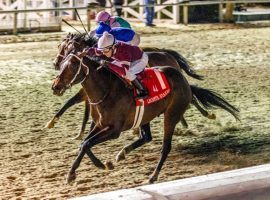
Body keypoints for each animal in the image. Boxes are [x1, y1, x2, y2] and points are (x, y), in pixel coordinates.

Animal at [50, 52, 238, 184]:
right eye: (62, 65)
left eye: (71, 66)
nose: (55, 86)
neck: (107, 91)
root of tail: (183, 80)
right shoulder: (100, 124)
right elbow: (84, 143)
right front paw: (91, 168)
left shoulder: (114, 130)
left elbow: (87, 143)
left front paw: (92, 168)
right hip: (146, 117)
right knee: (146, 137)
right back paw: (122, 153)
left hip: (171, 115)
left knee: (166, 147)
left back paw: (153, 176)